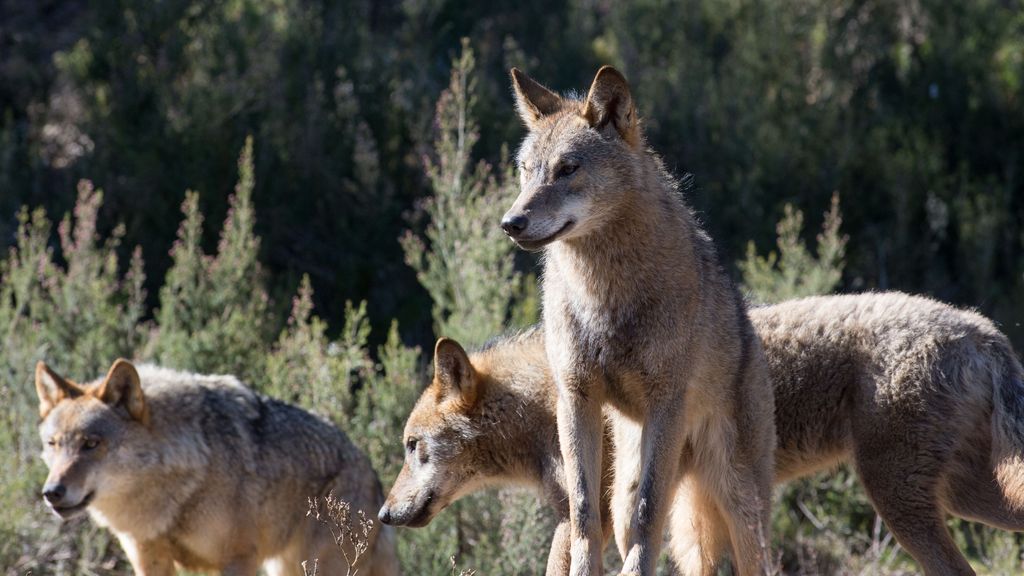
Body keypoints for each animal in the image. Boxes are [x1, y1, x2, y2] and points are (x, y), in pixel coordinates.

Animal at [33, 356, 399, 569]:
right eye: (53, 444)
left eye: (91, 444)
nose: (52, 492)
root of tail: (373, 475)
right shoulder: (150, 559)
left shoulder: (237, 558)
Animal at [380, 291, 1024, 573]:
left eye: (413, 449)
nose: (384, 514)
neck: (543, 402)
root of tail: (984, 329)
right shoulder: (656, 511)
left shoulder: (593, 518)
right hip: (962, 498)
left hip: (900, 500)